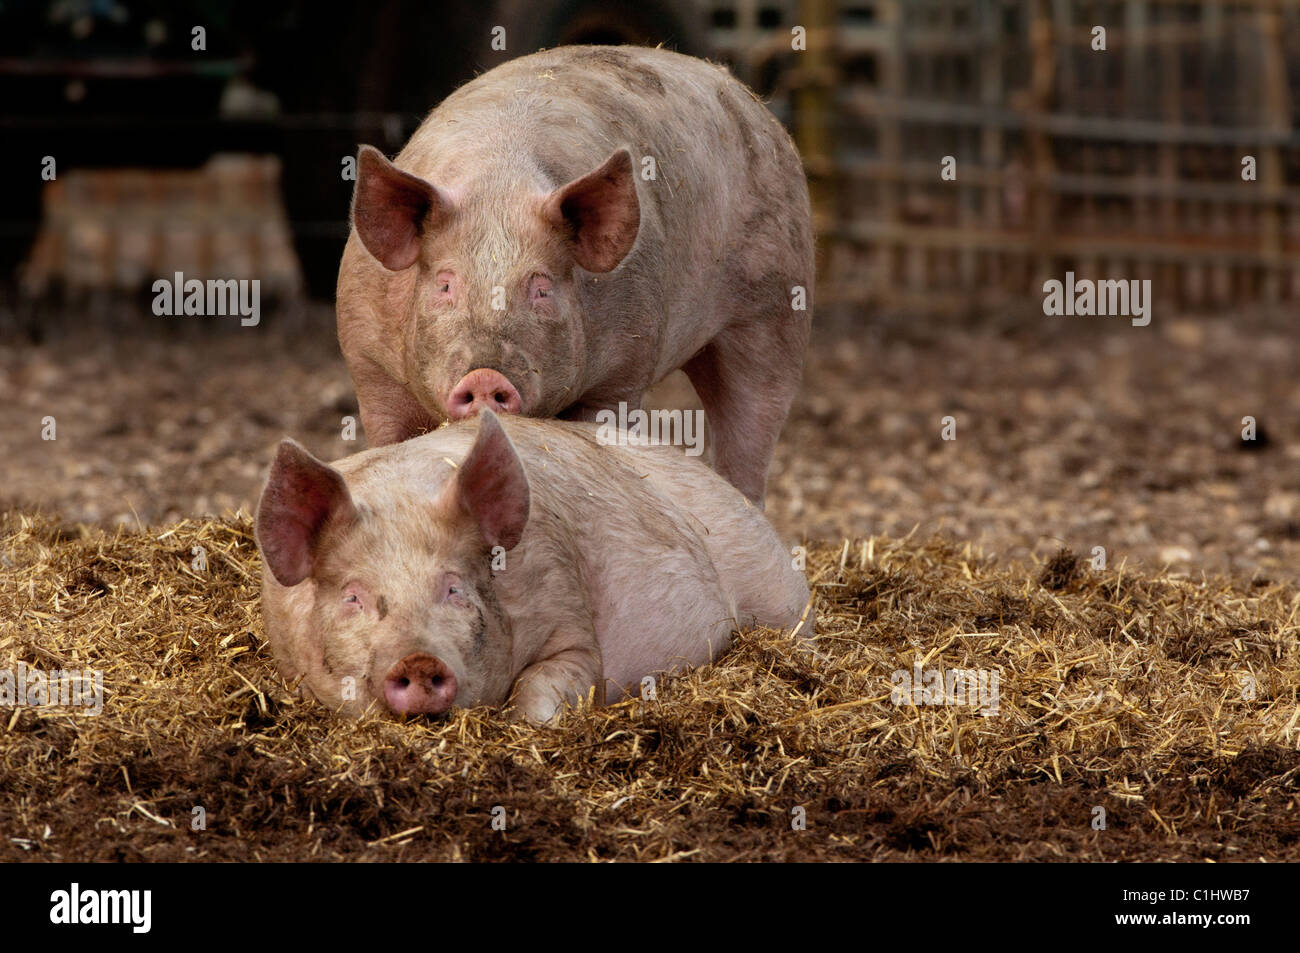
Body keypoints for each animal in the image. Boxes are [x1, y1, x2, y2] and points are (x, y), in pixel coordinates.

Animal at [255, 411, 812, 723]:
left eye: (454, 589)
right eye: (353, 596)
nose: (417, 660)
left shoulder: (571, 620)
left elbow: (545, 685)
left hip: (779, 595)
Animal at [338, 45, 814, 505]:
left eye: (542, 289)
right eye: (445, 285)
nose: (485, 376)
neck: (498, 187)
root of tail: (745, 94)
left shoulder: (623, 367)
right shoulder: (367, 362)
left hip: (775, 305)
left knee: (753, 416)